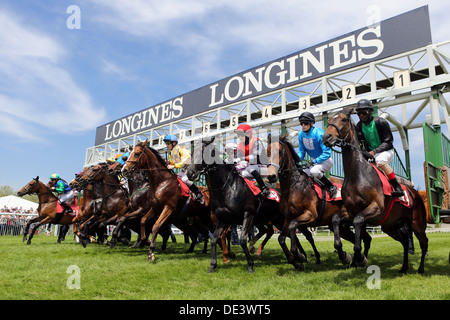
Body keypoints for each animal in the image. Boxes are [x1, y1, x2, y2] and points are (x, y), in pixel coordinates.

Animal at [266, 136, 370, 270]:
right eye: (267, 152)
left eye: (279, 151)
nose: (271, 176)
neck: (293, 186)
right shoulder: (288, 218)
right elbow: (281, 239)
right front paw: (296, 262)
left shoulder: (310, 215)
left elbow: (293, 227)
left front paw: (300, 256)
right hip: (340, 225)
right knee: (359, 238)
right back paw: (352, 260)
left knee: (366, 239)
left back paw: (359, 260)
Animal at [324, 107, 428, 272]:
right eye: (328, 121)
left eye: (343, 119)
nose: (326, 137)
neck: (357, 175)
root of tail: (415, 193)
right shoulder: (349, 210)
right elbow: (335, 219)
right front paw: (343, 255)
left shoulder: (376, 207)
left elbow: (359, 221)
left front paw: (360, 258)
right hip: (390, 226)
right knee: (405, 241)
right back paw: (404, 266)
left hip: (417, 223)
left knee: (424, 242)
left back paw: (421, 268)